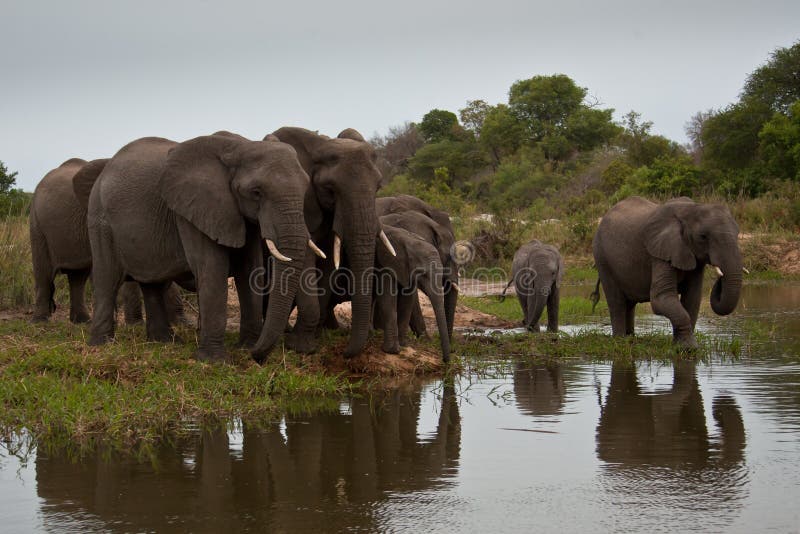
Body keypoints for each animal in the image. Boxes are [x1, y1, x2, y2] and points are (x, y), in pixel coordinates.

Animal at [30, 158, 183, 325]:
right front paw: (135, 324)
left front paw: (182, 323)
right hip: (37, 224)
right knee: (44, 273)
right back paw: (40, 321)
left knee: (78, 278)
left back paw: (82, 321)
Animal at [79, 133, 312, 363]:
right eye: (256, 192)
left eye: (306, 188)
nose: (257, 356)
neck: (240, 146)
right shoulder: (193, 210)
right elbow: (211, 267)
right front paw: (214, 361)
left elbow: (249, 269)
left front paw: (245, 348)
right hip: (100, 219)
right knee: (107, 278)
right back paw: (101, 345)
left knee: (152, 282)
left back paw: (164, 342)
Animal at [268, 127, 395, 357]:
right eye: (330, 189)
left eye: (378, 188)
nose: (344, 353)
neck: (320, 145)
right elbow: (306, 258)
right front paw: (300, 348)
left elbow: (328, 262)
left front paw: (314, 339)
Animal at [374, 225, 451, 362]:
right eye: (422, 274)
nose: (444, 360)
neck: (410, 239)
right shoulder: (387, 261)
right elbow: (387, 299)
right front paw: (392, 350)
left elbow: (407, 301)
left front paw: (403, 344)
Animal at [592, 196, 743, 348]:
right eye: (703, 236)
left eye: (737, 233)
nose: (720, 276)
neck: (691, 209)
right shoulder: (662, 251)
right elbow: (661, 298)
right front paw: (689, 348)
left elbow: (692, 299)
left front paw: (680, 345)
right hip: (602, 257)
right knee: (616, 302)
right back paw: (620, 340)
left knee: (629, 303)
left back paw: (630, 337)